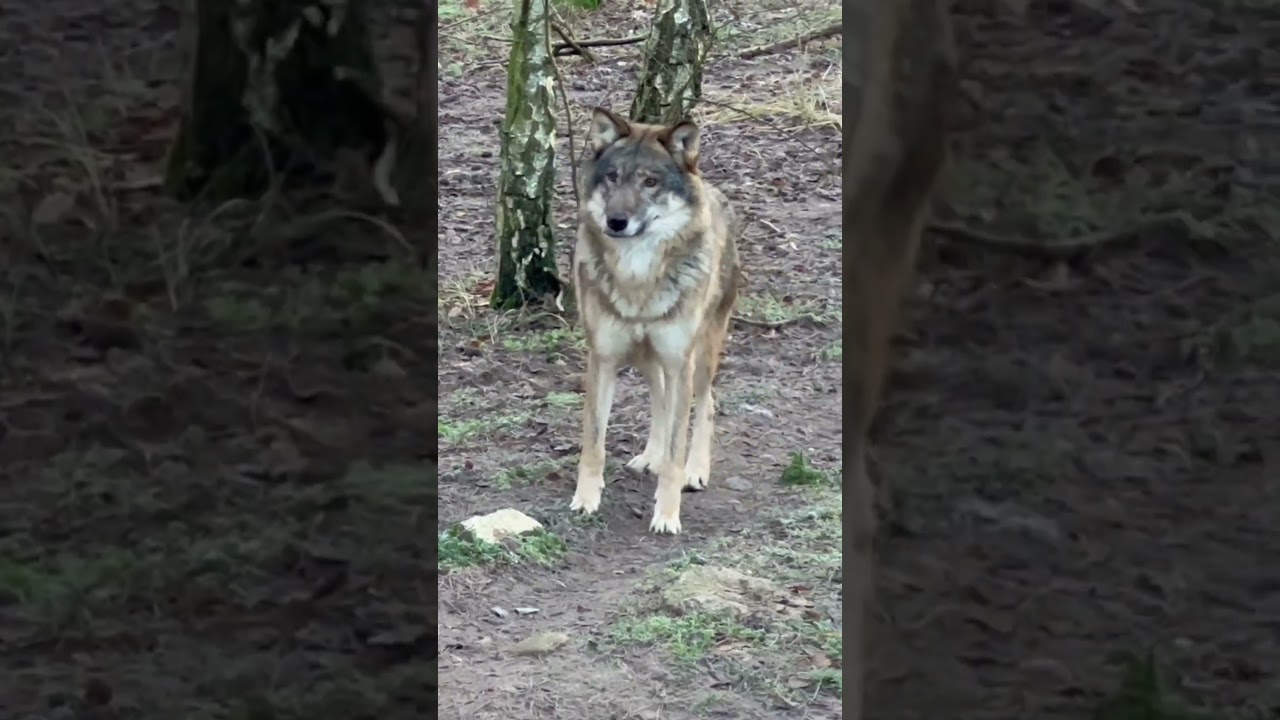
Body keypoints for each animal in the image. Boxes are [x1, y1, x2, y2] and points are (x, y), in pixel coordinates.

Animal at [568, 107, 742, 535]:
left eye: (650, 182)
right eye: (613, 177)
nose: (616, 221)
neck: (638, 276)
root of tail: (714, 191)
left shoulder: (680, 361)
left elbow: (679, 443)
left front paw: (667, 515)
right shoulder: (603, 360)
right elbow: (593, 442)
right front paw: (586, 500)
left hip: (699, 356)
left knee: (706, 405)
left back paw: (694, 472)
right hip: (648, 358)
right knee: (661, 400)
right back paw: (651, 455)